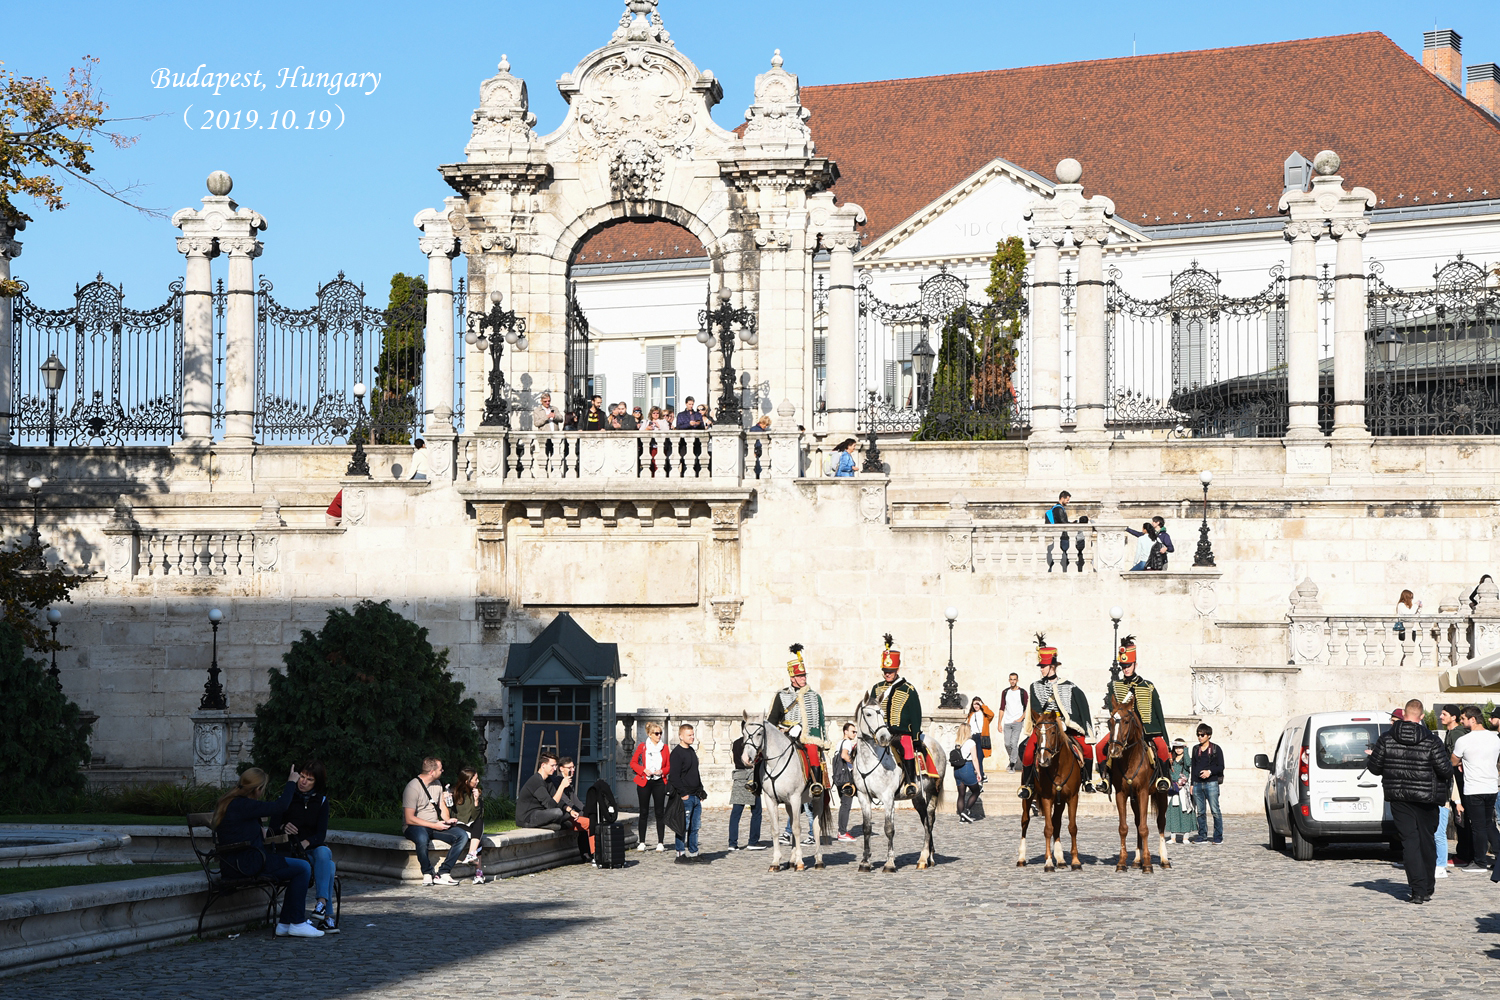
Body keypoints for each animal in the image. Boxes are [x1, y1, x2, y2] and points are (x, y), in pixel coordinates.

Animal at [738, 716, 834, 869]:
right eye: (744, 734)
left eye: (759, 733)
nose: (746, 759)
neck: (776, 763)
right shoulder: (770, 800)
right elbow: (775, 829)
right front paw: (776, 862)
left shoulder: (795, 798)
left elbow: (797, 828)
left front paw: (800, 862)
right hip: (789, 804)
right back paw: (792, 860)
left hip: (817, 800)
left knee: (816, 827)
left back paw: (818, 860)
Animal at [852, 695, 942, 869]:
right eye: (868, 714)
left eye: (882, 714)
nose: (884, 737)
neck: (870, 761)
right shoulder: (863, 796)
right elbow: (866, 828)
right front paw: (865, 861)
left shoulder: (888, 798)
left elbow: (889, 828)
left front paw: (889, 863)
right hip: (918, 797)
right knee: (925, 820)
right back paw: (928, 856)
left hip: (932, 791)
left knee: (930, 820)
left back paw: (925, 857)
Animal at [1014, 710, 1086, 869]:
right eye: (1037, 733)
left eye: (1053, 732)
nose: (1043, 760)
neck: (1058, 767)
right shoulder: (1047, 798)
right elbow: (1048, 828)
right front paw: (1048, 862)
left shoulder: (1072, 798)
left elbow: (1072, 827)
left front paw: (1075, 861)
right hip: (1028, 798)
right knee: (1025, 821)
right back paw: (1021, 858)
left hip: (1060, 802)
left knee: (1057, 823)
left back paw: (1060, 859)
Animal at [1104, 689, 1170, 875]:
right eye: (1110, 722)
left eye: (1126, 721)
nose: (1114, 750)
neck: (1130, 758)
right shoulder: (1121, 794)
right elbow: (1124, 828)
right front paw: (1122, 862)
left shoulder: (1143, 793)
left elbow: (1144, 828)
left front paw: (1148, 864)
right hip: (1134, 800)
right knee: (1137, 821)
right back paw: (1137, 860)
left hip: (1161, 796)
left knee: (1160, 823)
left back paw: (1164, 860)